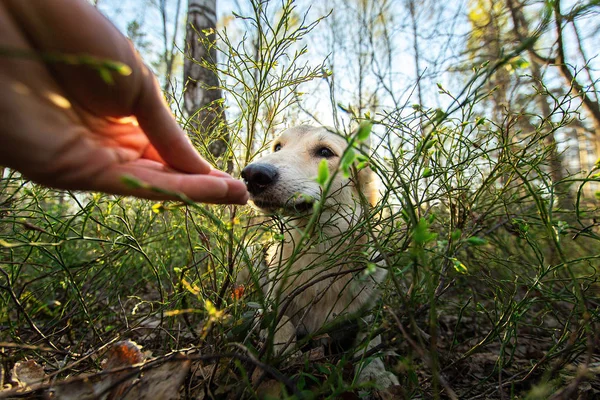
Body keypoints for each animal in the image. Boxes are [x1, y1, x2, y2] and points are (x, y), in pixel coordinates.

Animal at [239, 124, 398, 388]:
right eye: (277, 147)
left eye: (324, 152)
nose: (252, 174)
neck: (319, 250)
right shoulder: (273, 301)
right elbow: (280, 324)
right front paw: (283, 355)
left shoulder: (369, 310)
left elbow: (370, 342)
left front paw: (375, 375)